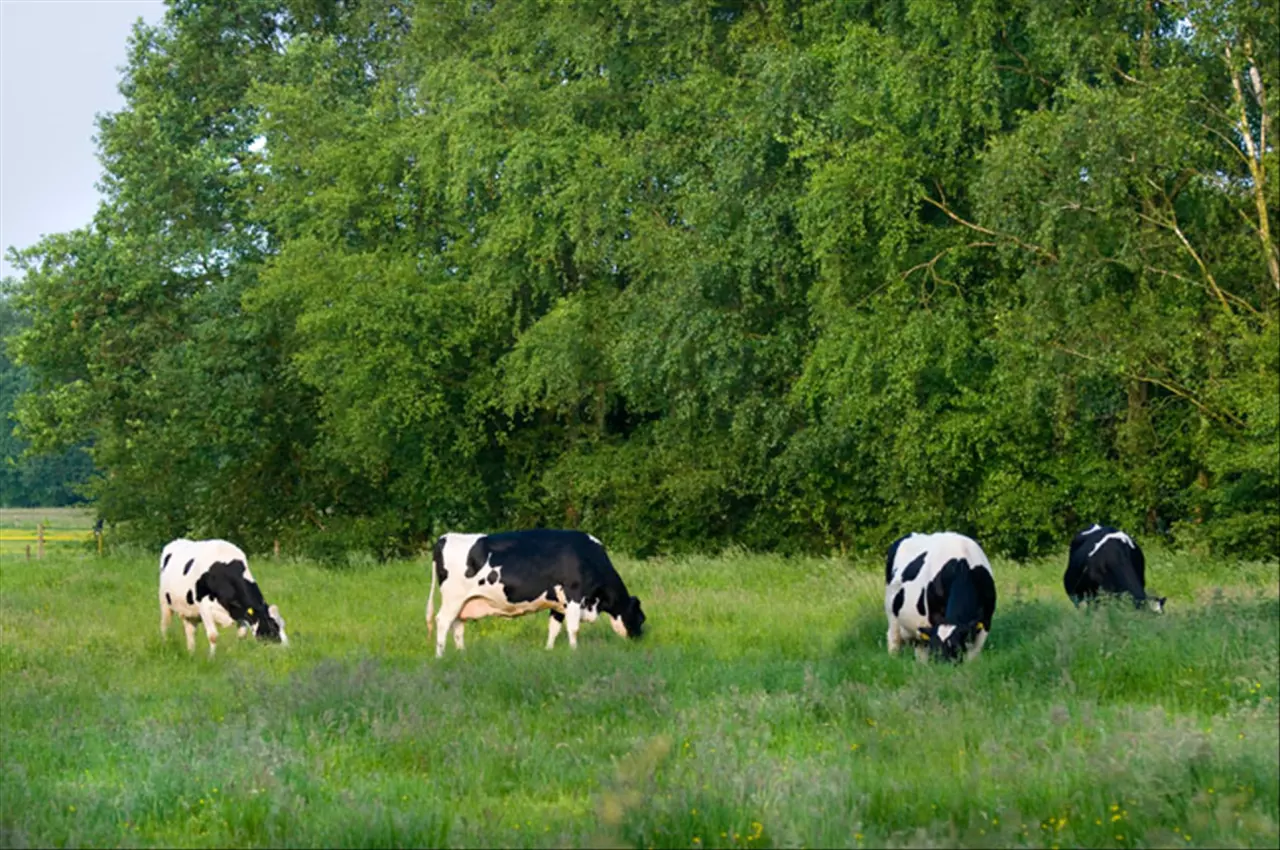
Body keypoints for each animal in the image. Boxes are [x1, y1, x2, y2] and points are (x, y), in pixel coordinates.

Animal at [158, 537, 289, 655]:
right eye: (272, 626)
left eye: (283, 624)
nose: (287, 648)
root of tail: (176, 541)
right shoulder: (205, 608)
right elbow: (213, 636)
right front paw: (211, 658)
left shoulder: (239, 610)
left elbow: (242, 634)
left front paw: (237, 652)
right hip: (165, 603)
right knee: (165, 626)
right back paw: (165, 645)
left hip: (189, 611)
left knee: (190, 631)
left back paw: (191, 653)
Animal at [424, 532, 645, 655]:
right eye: (641, 618)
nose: (640, 641)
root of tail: (445, 537)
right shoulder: (574, 595)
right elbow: (573, 629)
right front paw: (575, 652)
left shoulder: (559, 604)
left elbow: (554, 628)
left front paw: (548, 650)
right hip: (453, 599)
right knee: (443, 622)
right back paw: (440, 655)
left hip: (463, 602)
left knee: (457, 626)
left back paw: (462, 654)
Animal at [885, 532, 993, 665]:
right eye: (935, 647)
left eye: (955, 646)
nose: (943, 666)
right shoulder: (934, 618)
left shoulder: (986, 620)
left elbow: (973, 653)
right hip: (892, 614)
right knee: (894, 639)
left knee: (920, 650)